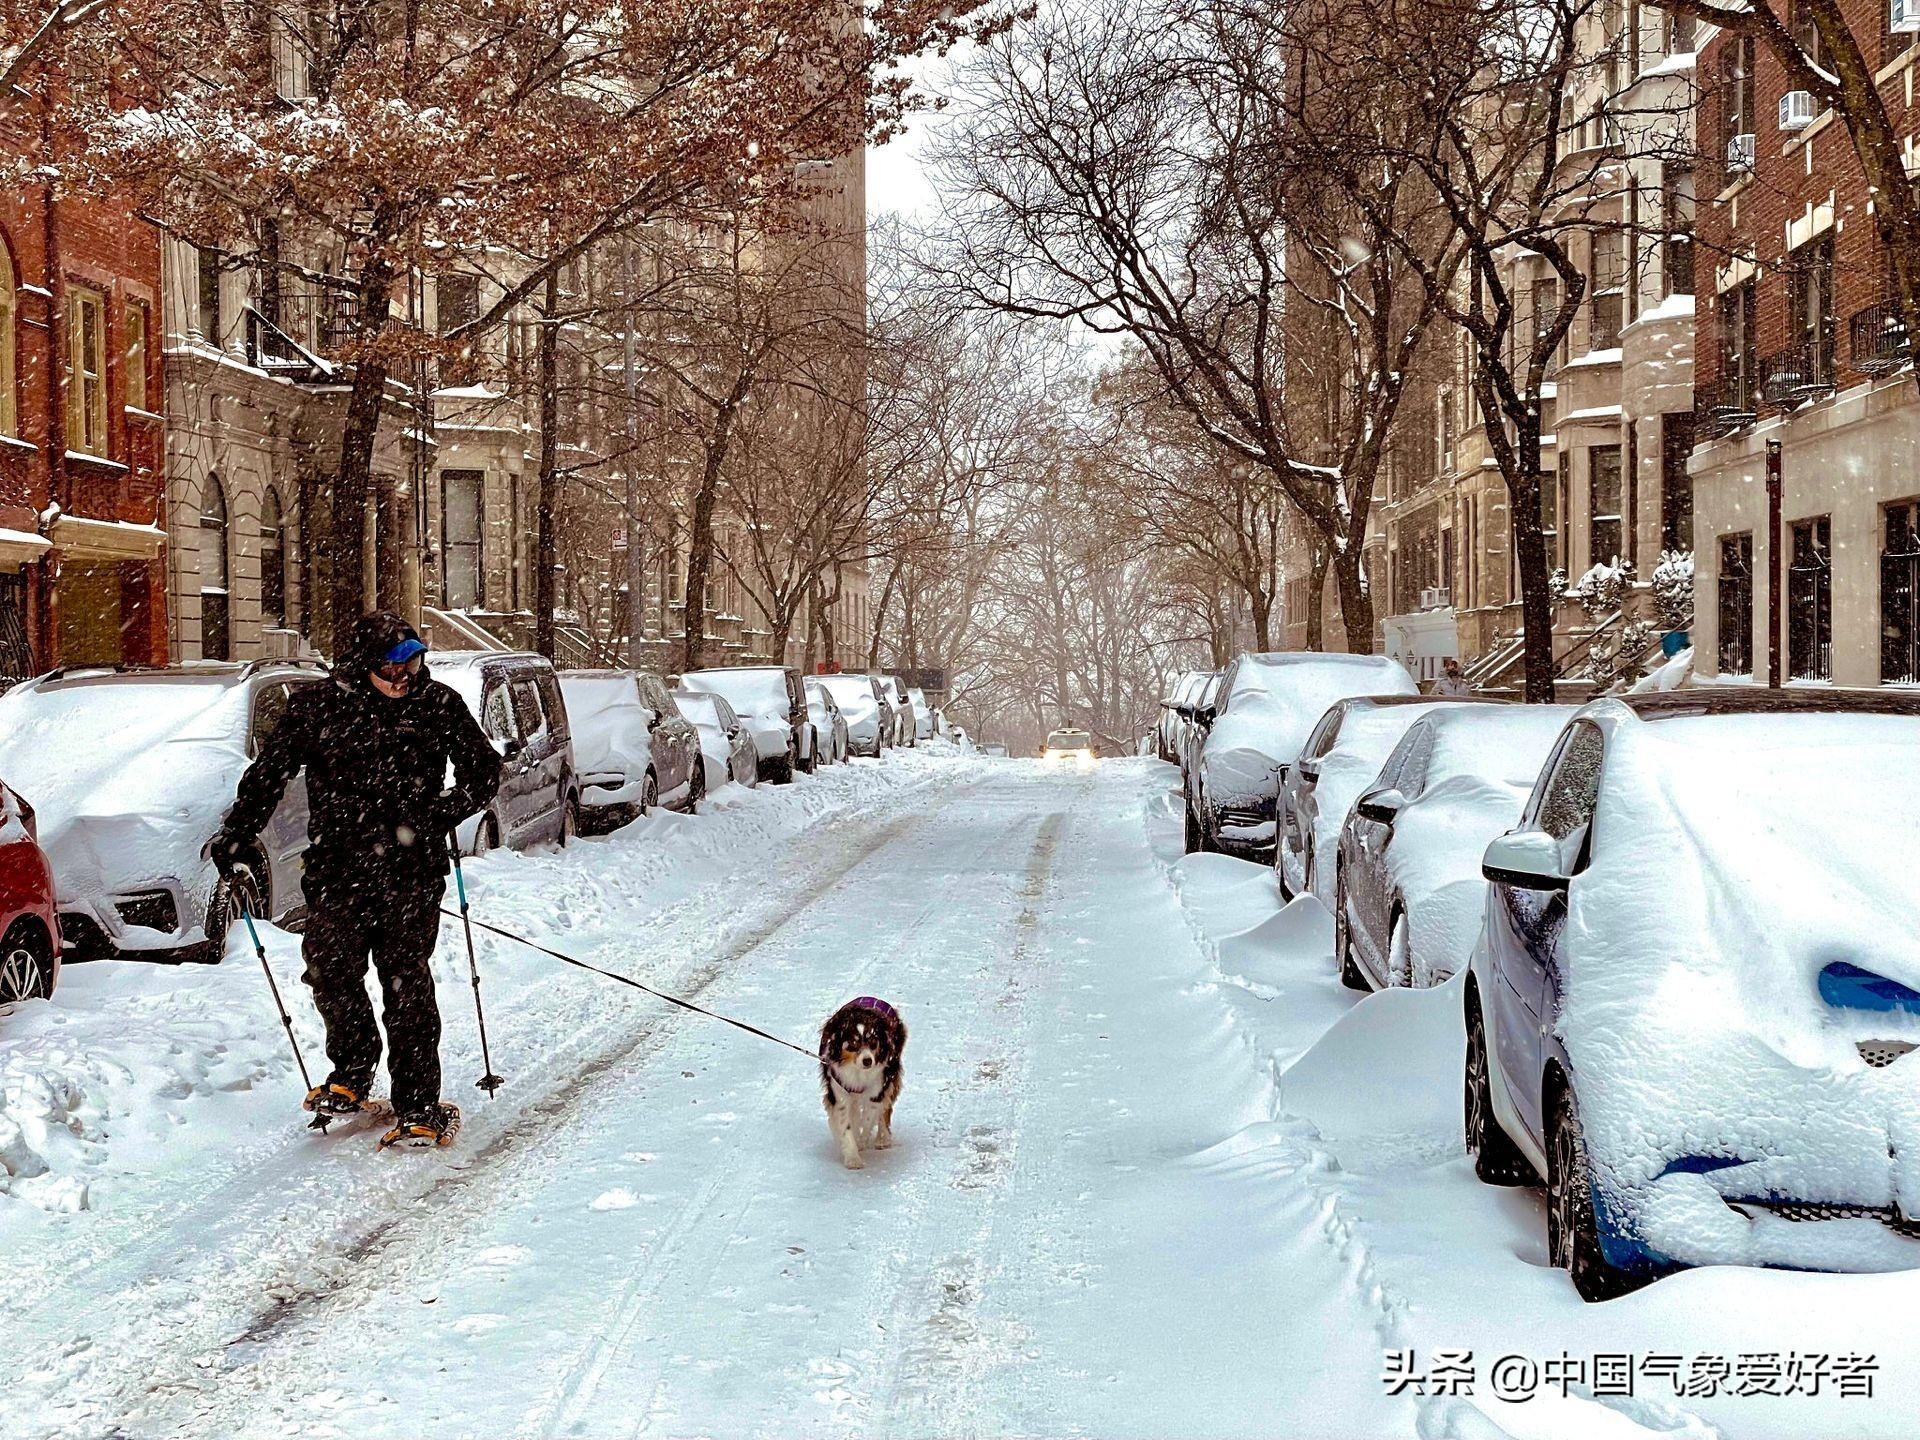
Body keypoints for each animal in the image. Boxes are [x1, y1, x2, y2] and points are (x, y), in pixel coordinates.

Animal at [817, 1006, 906, 1175]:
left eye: (873, 1041)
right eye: (853, 1043)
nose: (867, 1061)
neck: (857, 1072)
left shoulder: (877, 1089)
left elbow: (869, 1118)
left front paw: (860, 1142)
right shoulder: (839, 1092)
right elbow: (846, 1125)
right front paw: (852, 1158)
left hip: (891, 1073)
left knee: (885, 1109)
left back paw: (882, 1138)